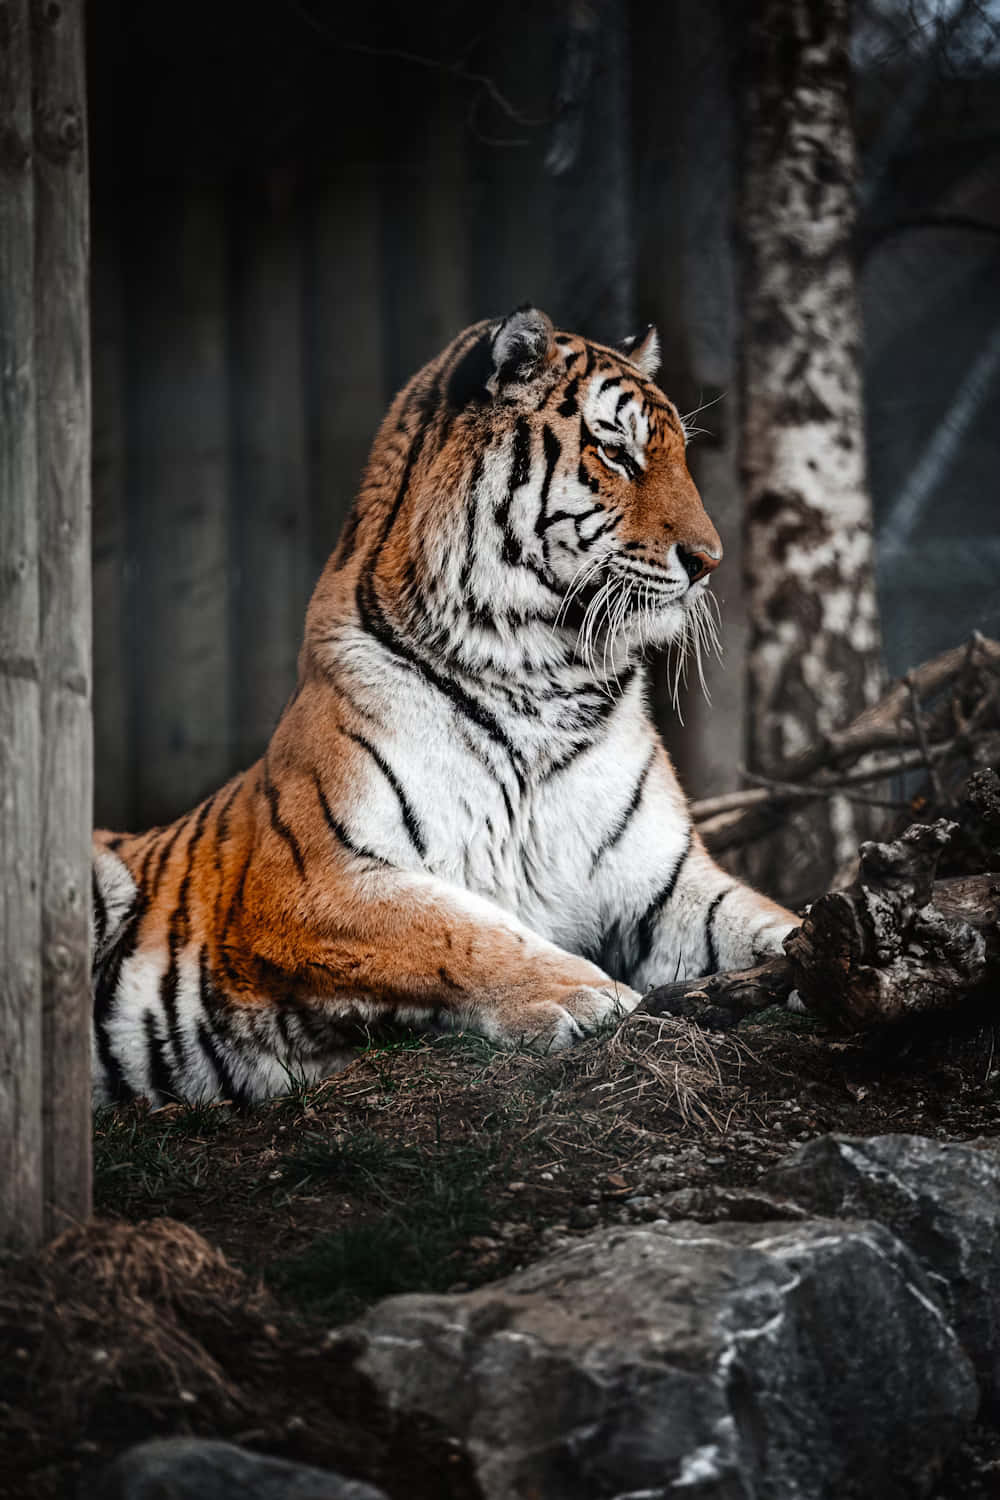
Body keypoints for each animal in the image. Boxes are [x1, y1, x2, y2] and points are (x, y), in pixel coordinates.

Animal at [93, 304, 797, 1110]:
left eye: (679, 453)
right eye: (615, 452)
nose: (709, 562)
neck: (545, 675)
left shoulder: (664, 884)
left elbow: (765, 919)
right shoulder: (309, 880)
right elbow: (459, 930)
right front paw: (584, 995)